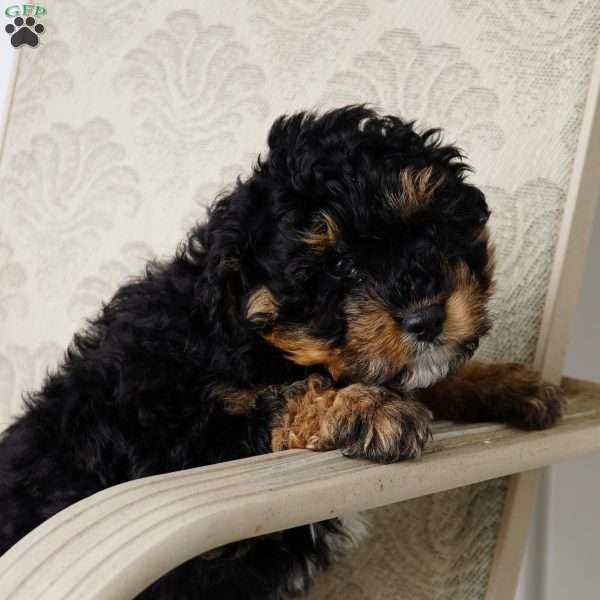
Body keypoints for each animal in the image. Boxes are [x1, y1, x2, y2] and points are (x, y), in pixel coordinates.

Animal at [0, 108, 564, 600]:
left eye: (428, 226)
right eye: (337, 265)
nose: (425, 318)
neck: (242, 334)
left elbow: (423, 375)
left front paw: (509, 383)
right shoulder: (176, 434)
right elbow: (275, 402)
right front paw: (361, 408)